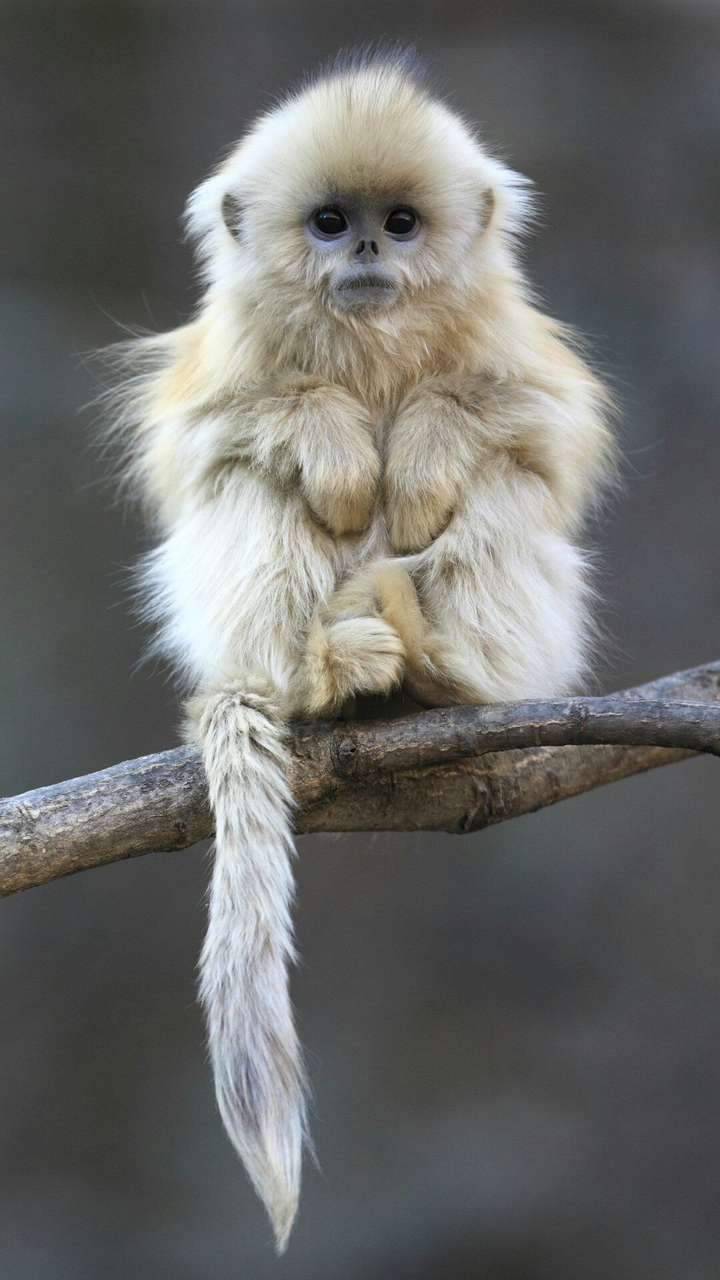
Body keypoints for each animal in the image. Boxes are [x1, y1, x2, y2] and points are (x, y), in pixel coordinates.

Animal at [110, 48, 614, 1250]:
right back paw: (324, 674)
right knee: (250, 483)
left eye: (402, 221)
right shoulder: (226, 361)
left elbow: (542, 431)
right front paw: (338, 444)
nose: (371, 255)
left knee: (504, 484)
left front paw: (422, 448)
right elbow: (210, 441)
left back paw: (438, 667)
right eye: (331, 222)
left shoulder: (514, 348)